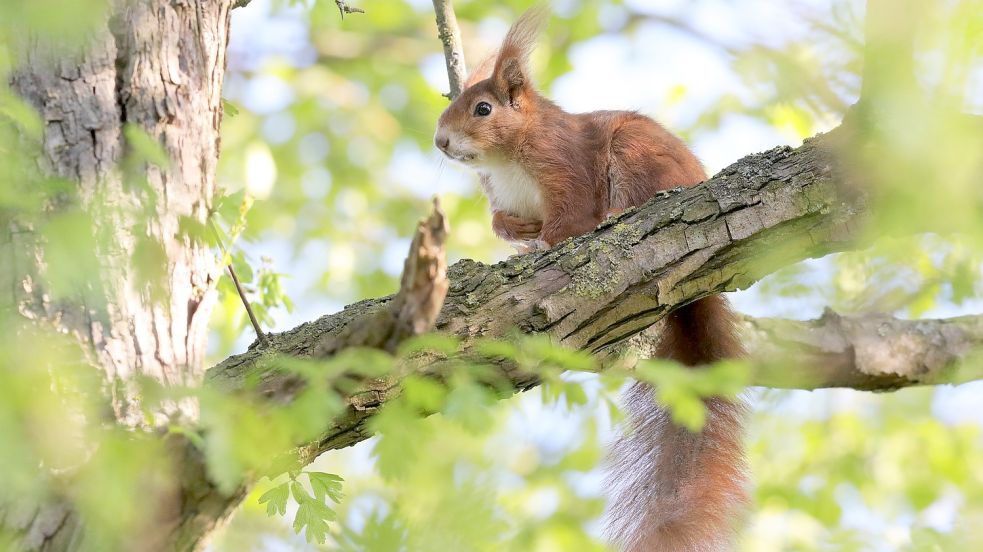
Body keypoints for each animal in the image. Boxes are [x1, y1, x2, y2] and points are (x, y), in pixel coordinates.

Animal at [434, 8, 748, 552]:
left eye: (482, 109)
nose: (441, 142)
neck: (507, 160)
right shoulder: (503, 195)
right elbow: (503, 222)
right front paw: (518, 233)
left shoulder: (565, 169)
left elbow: (572, 219)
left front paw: (548, 242)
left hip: (633, 153)